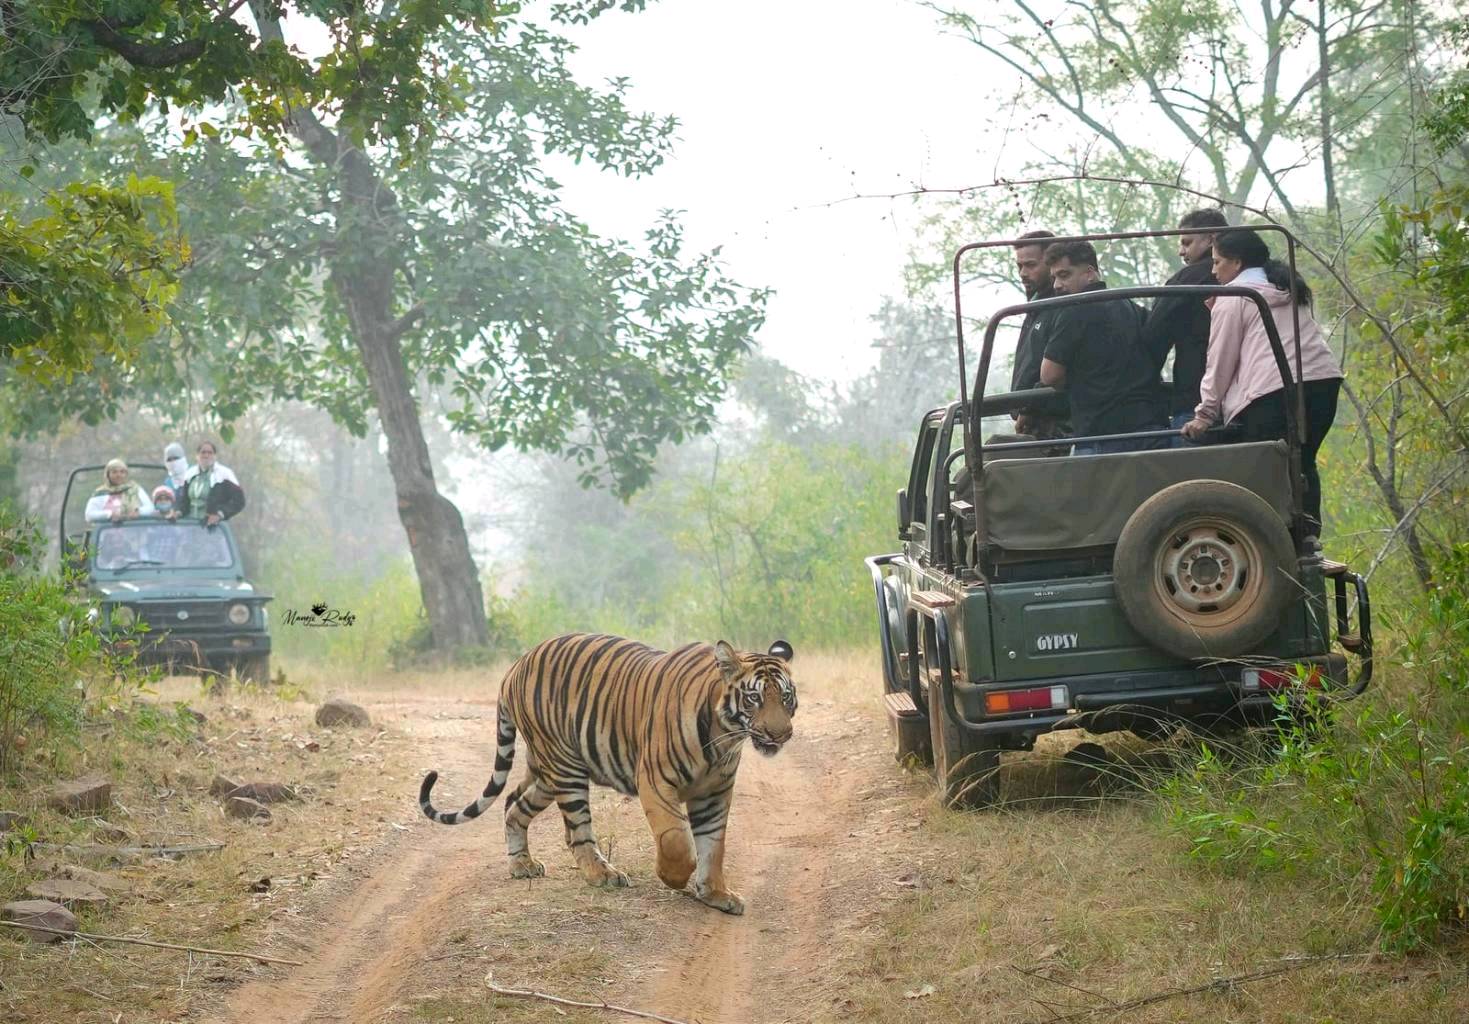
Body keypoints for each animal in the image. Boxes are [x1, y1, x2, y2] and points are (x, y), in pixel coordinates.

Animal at [418, 633, 797, 915]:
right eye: (754, 699)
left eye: (786, 698)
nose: (780, 734)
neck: (725, 736)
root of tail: (516, 665)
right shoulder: (656, 781)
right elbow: (678, 841)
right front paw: (673, 878)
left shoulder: (715, 793)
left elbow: (713, 845)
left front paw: (716, 893)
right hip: (565, 768)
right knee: (578, 831)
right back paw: (602, 874)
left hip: (546, 772)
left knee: (514, 804)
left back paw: (522, 865)